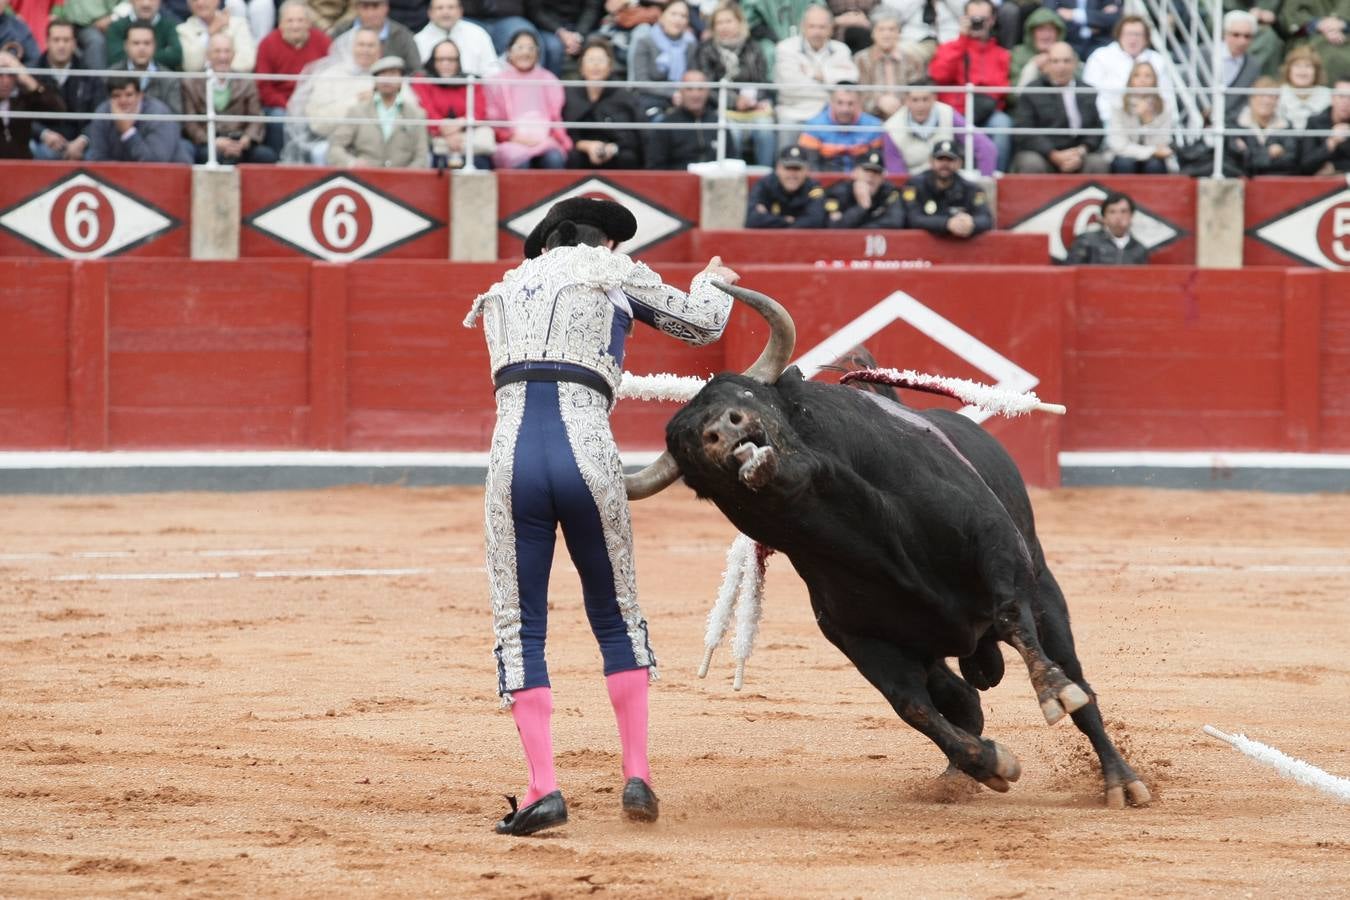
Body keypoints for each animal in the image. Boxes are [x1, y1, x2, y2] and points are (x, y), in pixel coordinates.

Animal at [653, 307, 1150, 809]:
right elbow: (913, 707)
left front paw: (1053, 694)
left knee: (1077, 683)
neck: (862, 527)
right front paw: (990, 763)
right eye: (689, 449)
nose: (725, 431)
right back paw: (957, 775)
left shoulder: (996, 547)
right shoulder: (863, 641)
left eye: (747, 393)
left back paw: (1120, 781)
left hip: (1046, 591)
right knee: (962, 697)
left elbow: (1014, 618)